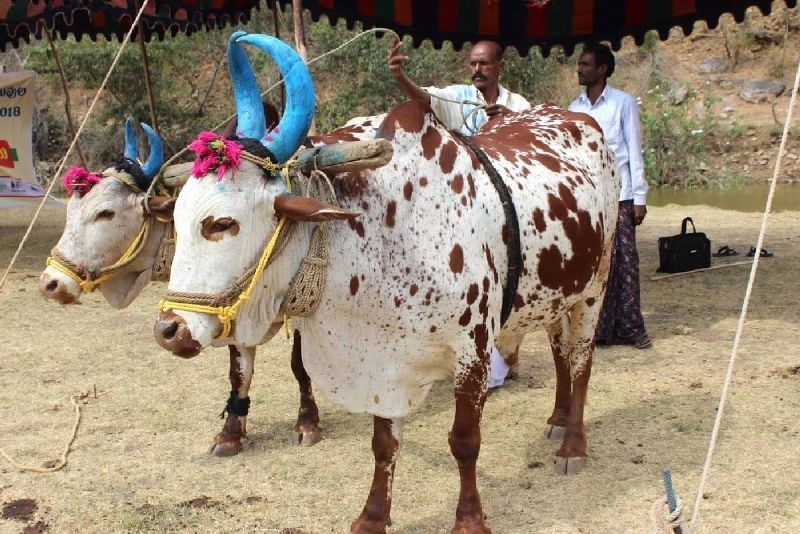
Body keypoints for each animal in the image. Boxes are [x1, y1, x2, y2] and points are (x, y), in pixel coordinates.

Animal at [155, 32, 620, 532]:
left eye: (222, 224)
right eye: (176, 221)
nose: (169, 330)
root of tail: (575, 117)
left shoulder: (472, 354)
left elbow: (464, 441)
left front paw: (469, 519)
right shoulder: (382, 362)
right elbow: (383, 444)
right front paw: (372, 517)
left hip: (595, 287)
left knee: (580, 362)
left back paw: (573, 444)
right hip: (555, 293)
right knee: (559, 352)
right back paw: (557, 418)